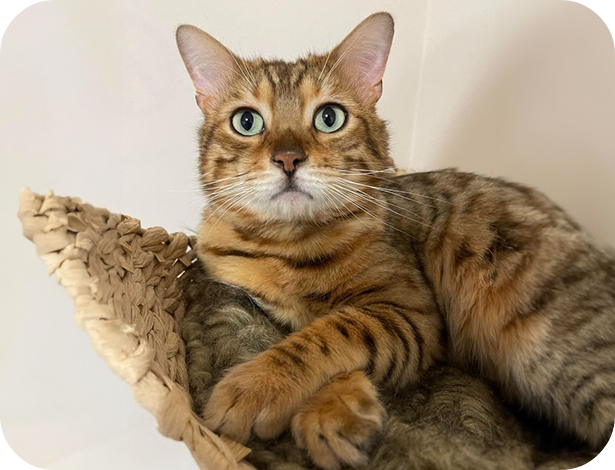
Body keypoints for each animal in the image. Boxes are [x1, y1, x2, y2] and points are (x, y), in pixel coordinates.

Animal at [176, 11, 612, 470]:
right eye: (247, 122)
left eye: (329, 118)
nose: (288, 158)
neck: (289, 246)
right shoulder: (253, 300)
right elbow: (304, 340)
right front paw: (339, 408)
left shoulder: (408, 312)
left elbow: (328, 333)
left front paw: (259, 387)